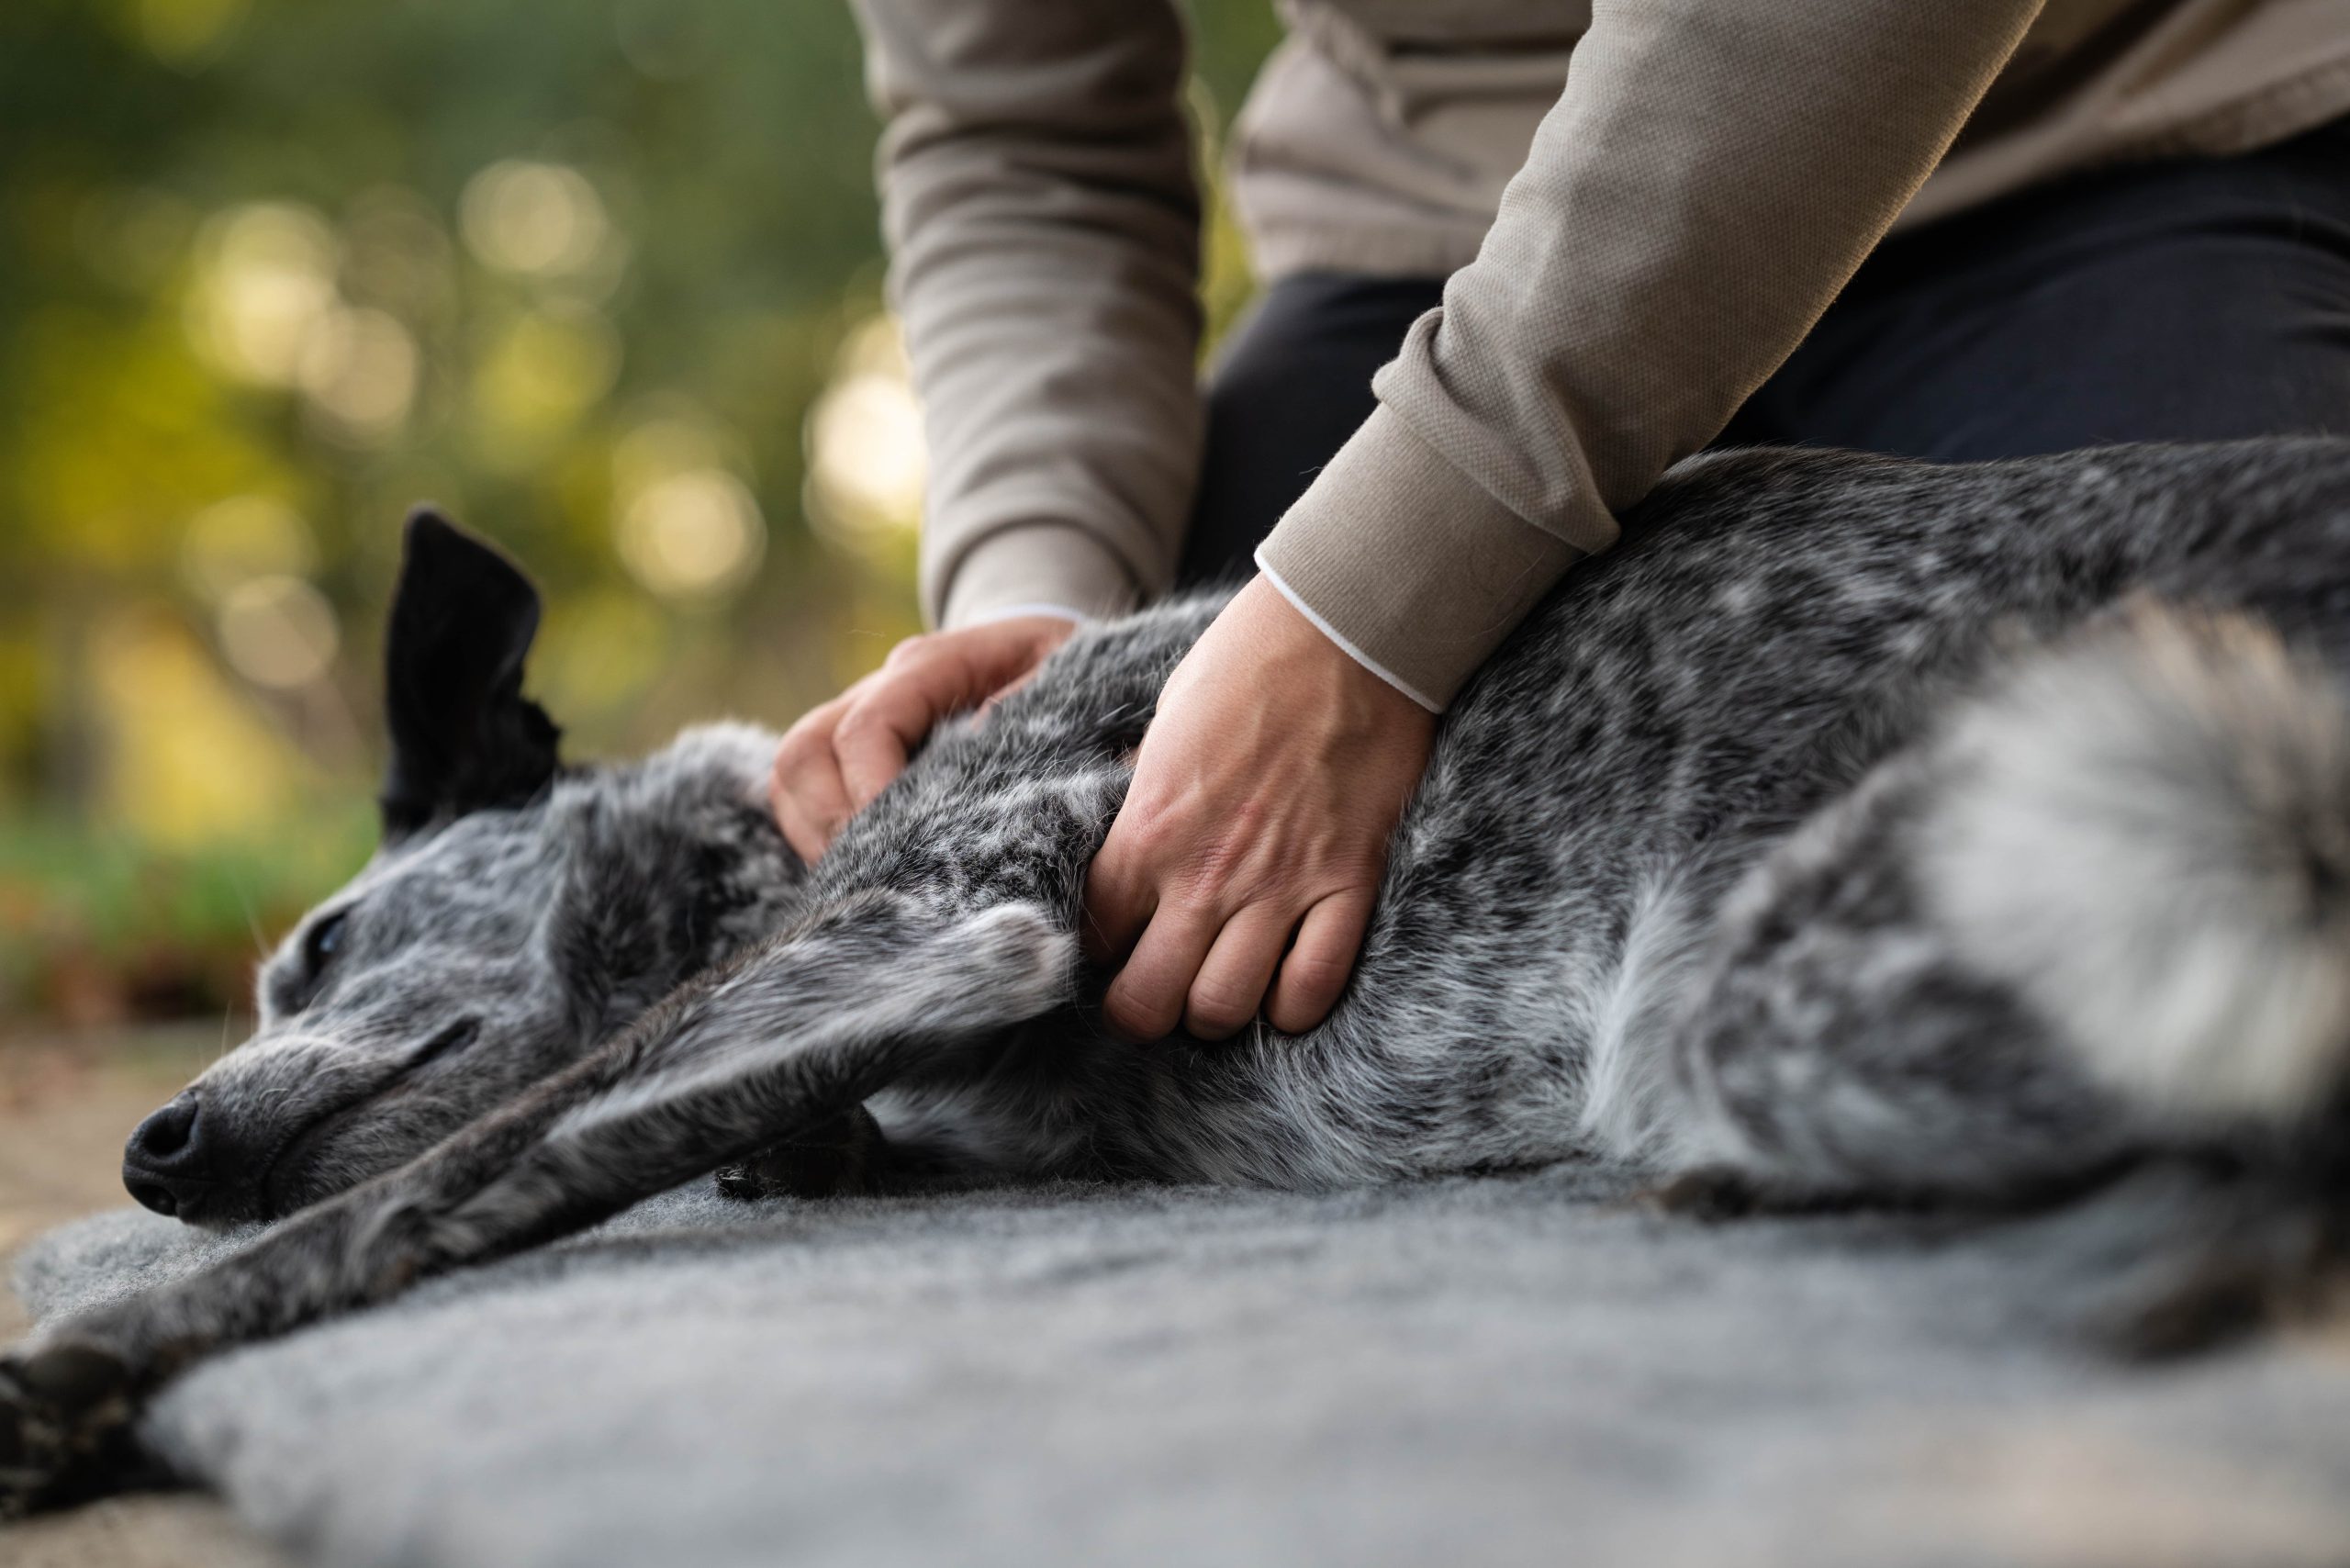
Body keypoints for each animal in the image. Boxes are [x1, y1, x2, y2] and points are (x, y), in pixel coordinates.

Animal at [5, 439, 2350, 1504]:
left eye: (316, 945)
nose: (145, 1145)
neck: (780, 843)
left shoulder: (937, 917)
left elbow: (455, 1166)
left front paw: (99, 1363)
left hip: (1852, 942)